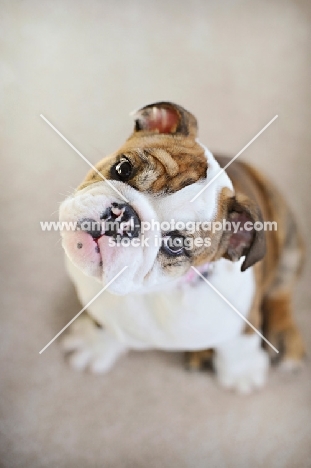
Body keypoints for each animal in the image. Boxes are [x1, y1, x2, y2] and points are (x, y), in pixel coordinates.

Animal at [59, 101, 308, 392]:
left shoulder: (242, 318)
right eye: (123, 168)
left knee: (281, 291)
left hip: (288, 236)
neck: (152, 292)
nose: (123, 216)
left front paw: (241, 372)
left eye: (175, 244)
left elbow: (240, 344)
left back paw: (282, 334)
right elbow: (105, 324)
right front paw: (97, 345)